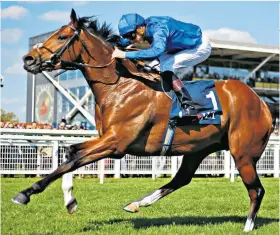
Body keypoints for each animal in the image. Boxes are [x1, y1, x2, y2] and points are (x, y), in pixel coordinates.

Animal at [14, 8, 278, 231]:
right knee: (182, 178)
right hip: (199, 148)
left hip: (243, 153)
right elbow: (70, 153)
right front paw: (70, 200)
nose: (28, 59)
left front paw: (26, 193)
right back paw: (137, 203)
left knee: (257, 190)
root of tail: (263, 103)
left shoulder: (116, 143)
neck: (120, 84)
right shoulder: (107, 139)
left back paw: (247, 226)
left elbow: (73, 160)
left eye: (62, 37)